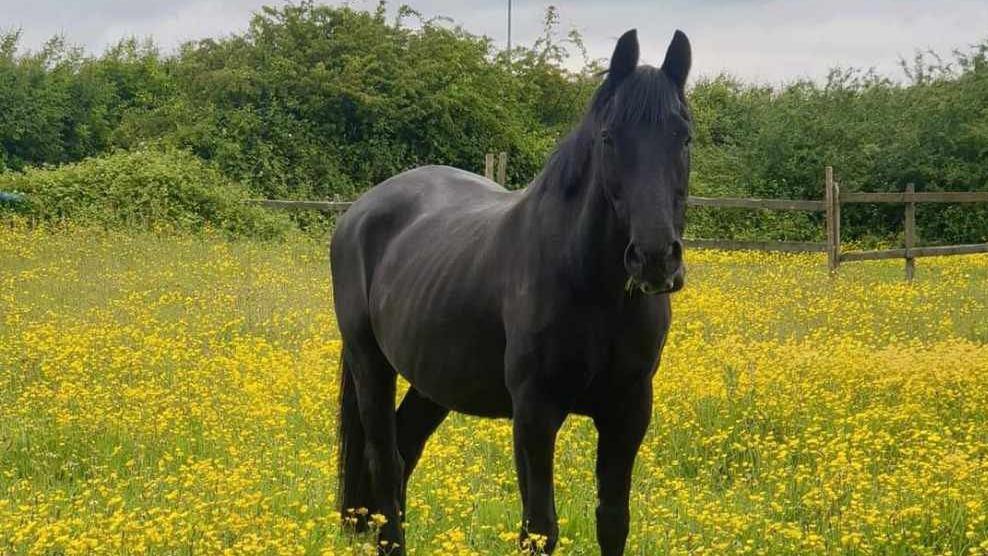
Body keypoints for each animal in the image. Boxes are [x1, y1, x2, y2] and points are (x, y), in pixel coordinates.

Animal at [336, 29, 692, 552]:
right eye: (609, 138)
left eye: (683, 138)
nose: (654, 258)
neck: (594, 289)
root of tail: (359, 211)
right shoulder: (534, 412)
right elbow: (539, 528)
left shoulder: (628, 411)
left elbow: (613, 519)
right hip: (370, 362)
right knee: (385, 458)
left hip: (433, 379)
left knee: (405, 448)